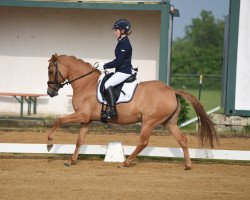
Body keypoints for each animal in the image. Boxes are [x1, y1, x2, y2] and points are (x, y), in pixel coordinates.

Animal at [46, 54, 217, 170]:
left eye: (50, 71)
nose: (50, 92)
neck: (85, 83)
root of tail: (172, 91)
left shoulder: (82, 115)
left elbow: (58, 120)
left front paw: (49, 143)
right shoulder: (86, 120)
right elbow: (79, 140)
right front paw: (72, 161)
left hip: (149, 122)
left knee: (143, 142)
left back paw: (125, 162)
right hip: (169, 123)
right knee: (182, 140)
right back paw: (188, 165)